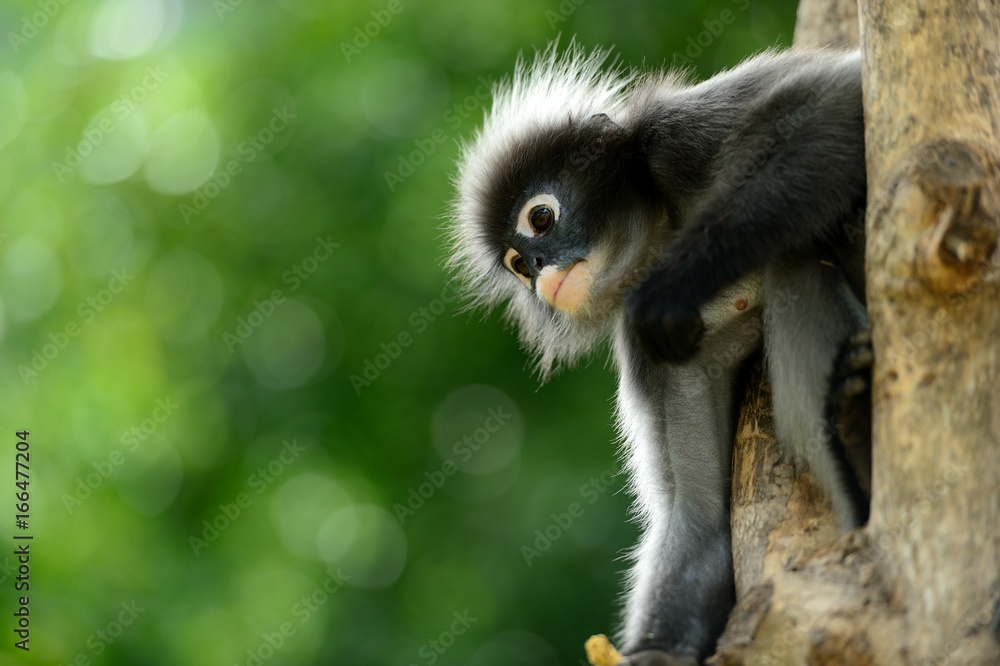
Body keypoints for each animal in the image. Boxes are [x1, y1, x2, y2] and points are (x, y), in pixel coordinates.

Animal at [448, 42, 871, 665]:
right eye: (517, 265)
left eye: (540, 218)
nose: (540, 274)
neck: (666, 234)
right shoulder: (652, 354)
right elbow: (699, 522)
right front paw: (658, 651)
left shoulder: (672, 138)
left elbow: (836, 97)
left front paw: (671, 288)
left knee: (800, 259)